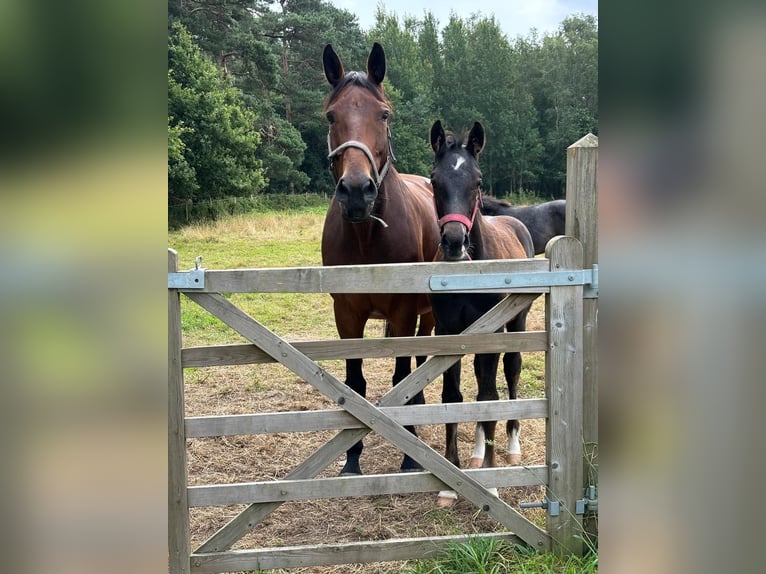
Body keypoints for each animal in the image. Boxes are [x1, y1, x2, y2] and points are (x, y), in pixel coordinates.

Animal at [320, 44, 440, 476]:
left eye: (384, 113)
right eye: (331, 115)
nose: (357, 191)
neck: (366, 237)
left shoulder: (403, 311)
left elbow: (401, 375)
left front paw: (409, 456)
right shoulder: (346, 314)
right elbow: (355, 384)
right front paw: (352, 459)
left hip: (427, 313)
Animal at [428, 119, 536, 506]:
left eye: (477, 180)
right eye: (434, 180)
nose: (454, 242)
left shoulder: (491, 333)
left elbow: (490, 399)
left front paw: (489, 481)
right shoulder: (447, 333)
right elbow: (454, 398)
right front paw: (449, 482)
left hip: (515, 325)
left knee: (511, 372)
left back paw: (511, 447)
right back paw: (476, 454)